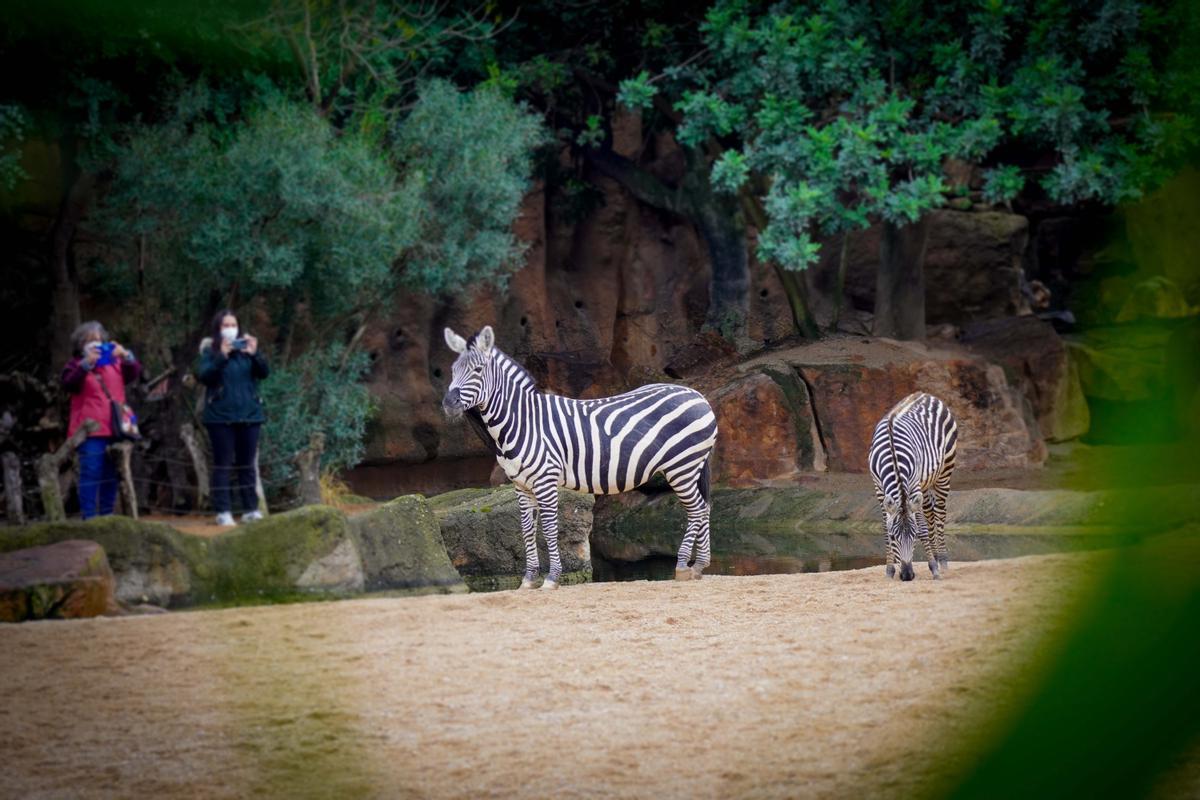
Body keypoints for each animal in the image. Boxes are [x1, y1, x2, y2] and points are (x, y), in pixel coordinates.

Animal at [444, 323, 715, 587]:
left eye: (478, 370)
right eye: (452, 371)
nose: (448, 402)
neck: (523, 421)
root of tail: (698, 396)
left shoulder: (546, 480)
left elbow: (549, 528)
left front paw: (552, 578)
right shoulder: (521, 485)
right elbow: (527, 530)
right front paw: (529, 579)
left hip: (682, 466)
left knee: (696, 509)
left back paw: (684, 566)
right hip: (691, 467)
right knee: (705, 507)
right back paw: (699, 566)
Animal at [868, 393, 960, 582]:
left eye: (915, 536)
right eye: (894, 536)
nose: (907, 576)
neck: (893, 456)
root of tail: (924, 394)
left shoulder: (913, 485)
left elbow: (923, 528)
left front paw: (934, 569)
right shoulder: (879, 488)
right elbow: (885, 526)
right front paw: (889, 570)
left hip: (944, 472)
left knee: (940, 514)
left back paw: (942, 561)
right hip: (925, 484)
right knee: (930, 512)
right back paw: (936, 556)